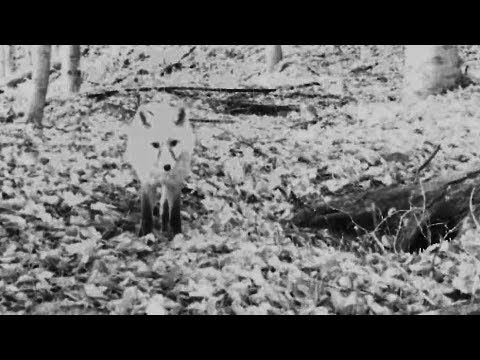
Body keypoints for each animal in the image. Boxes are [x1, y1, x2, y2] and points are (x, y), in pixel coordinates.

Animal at [126, 102, 196, 236]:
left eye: (174, 143)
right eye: (155, 145)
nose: (167, 166)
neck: (161, 174)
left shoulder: (175, 185)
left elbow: (175, 217)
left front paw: (177, 236)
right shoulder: (147, 184)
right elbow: (147, 216)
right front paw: (145, 236)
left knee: (164, 205)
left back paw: (164, 225)